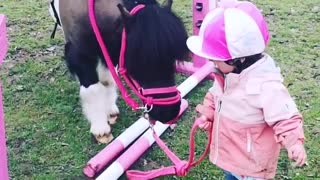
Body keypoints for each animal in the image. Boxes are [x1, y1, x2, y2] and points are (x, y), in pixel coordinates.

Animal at [48, 0, 189, 143]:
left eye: (173, 59)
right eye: (137, 61)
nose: (169, 113)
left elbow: (107, 81)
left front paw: (110, 111)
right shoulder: (80, 54)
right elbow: (93, 90)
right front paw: (100, 128)